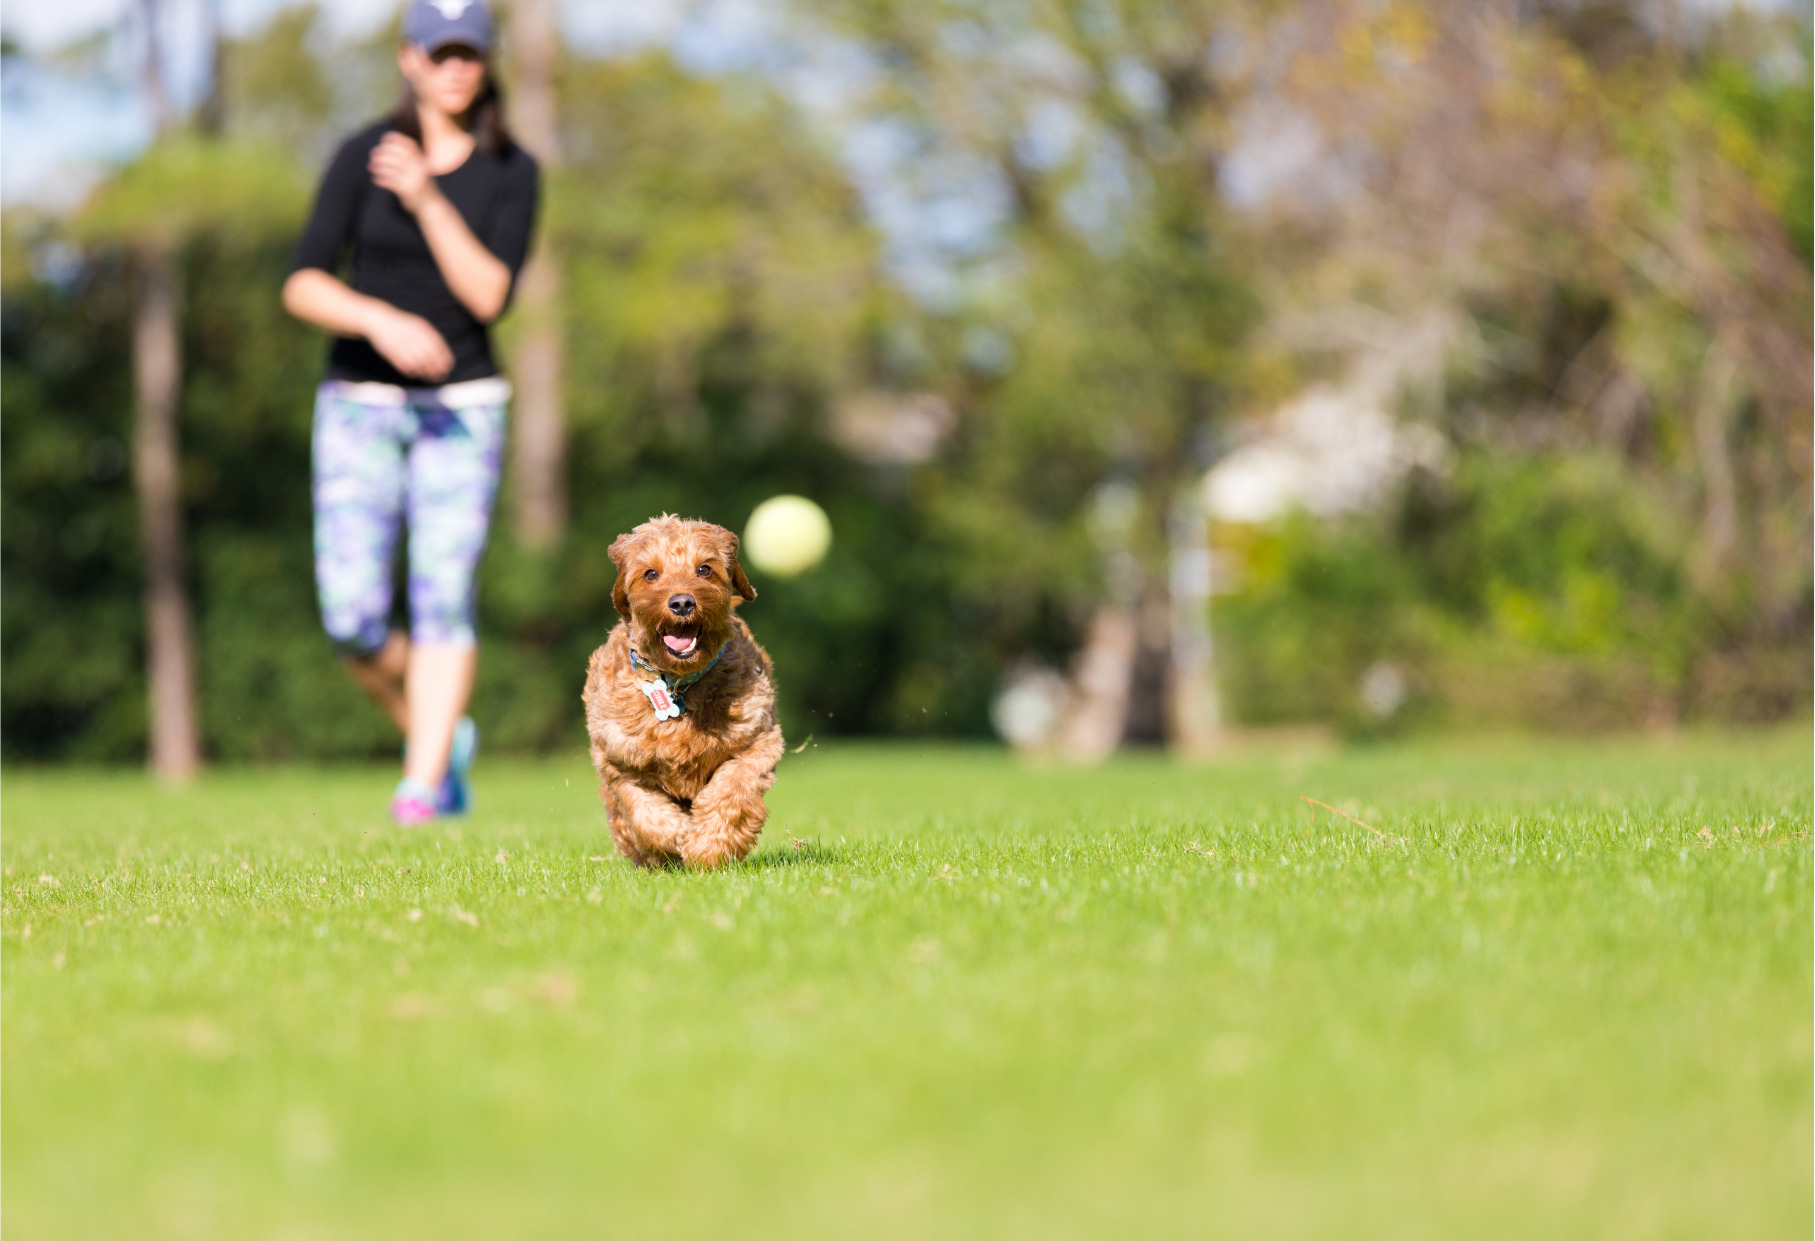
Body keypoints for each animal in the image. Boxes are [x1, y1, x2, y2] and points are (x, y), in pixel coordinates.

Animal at [580, 511, 780, 863]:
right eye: (651, 573)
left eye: (704, 569)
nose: (683, 603)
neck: (677, 683)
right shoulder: (618, 759)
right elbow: (645, 814)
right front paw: (677, 836)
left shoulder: (757, 741)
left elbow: (730, 792)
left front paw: (707, 847)